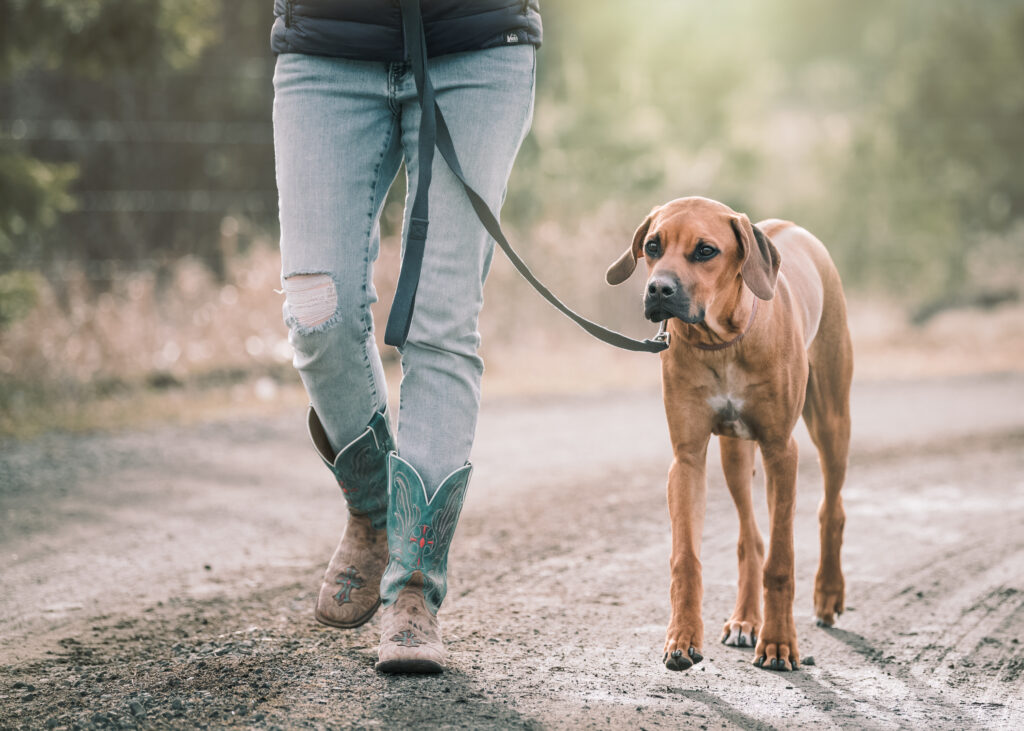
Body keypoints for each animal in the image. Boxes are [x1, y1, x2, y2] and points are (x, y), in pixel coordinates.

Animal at [602, 195, 851, 671]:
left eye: (705, 251)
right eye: (653, 245)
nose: (659, 290)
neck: (723, 342)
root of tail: (793, 227)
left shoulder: (780, 450)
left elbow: (781, 561)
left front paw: (779, 643)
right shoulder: (687, 457)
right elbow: (686, 558)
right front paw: (682, 638)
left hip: (832, 418)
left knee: (831, 509)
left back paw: (828, 593)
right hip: (734, 453)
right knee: (750, 537)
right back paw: (745, 620)